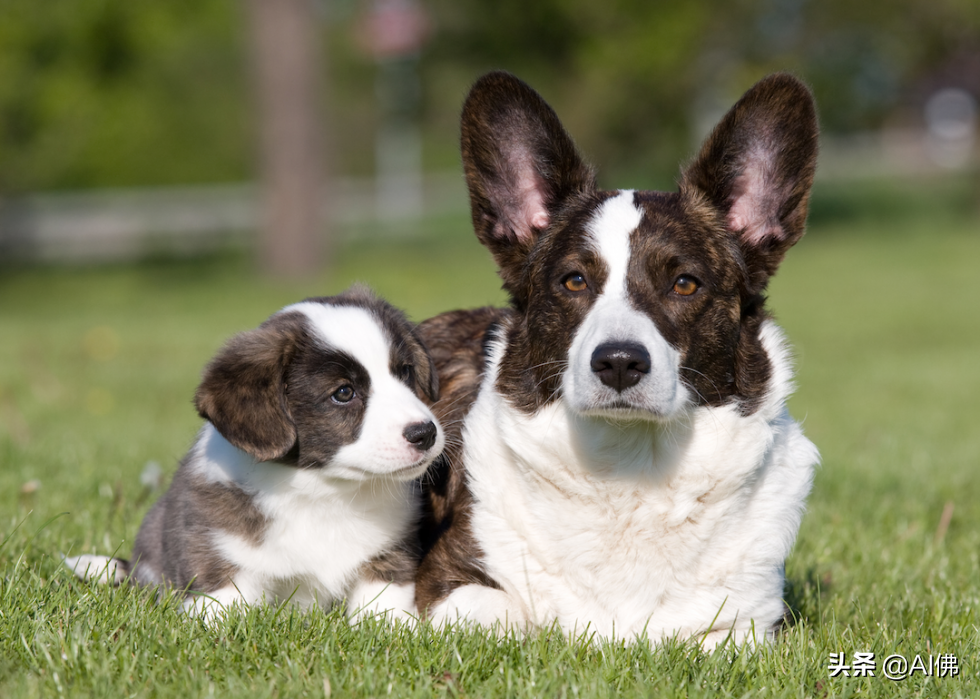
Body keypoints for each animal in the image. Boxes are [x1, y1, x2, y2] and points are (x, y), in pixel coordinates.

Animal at [71, 288, 446, 620]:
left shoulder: (388, 555)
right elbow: (222, 609)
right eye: (343, 392)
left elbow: (383, 606)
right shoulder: (221, 558)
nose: (425, 433)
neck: (325, 492)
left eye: (405, 371)